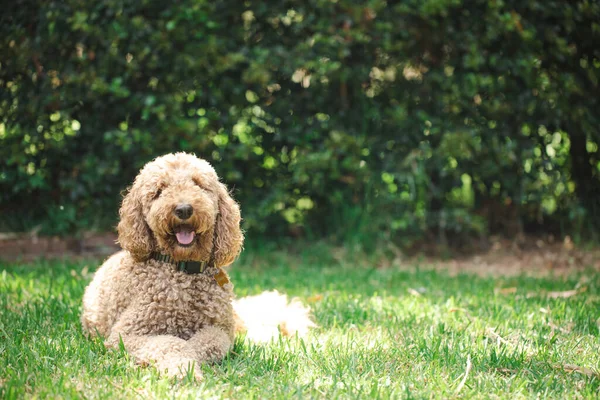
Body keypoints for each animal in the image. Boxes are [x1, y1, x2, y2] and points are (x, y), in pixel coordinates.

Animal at [82, 152, 314, 378]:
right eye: (159, 190)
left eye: (199, 184)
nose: (184, 209)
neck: (183, 269)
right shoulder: (126, 334)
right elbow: (171, 343)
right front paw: (182, 367)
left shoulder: (220, 330)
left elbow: (207, 343)